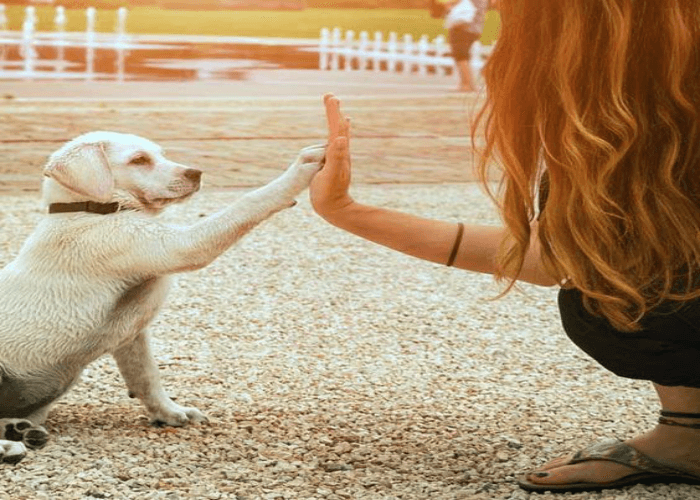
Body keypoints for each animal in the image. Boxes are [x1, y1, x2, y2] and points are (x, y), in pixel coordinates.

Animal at [0, 131, 326, 462]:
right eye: (139, 160)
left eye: (160, 154)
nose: (196, 173)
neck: (86, 209)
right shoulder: (175, 246)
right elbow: (246, 203)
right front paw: (301, 168)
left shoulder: (132, 334)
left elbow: (146, 376)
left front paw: (170, 413)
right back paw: (8, 446)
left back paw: (19, 429)